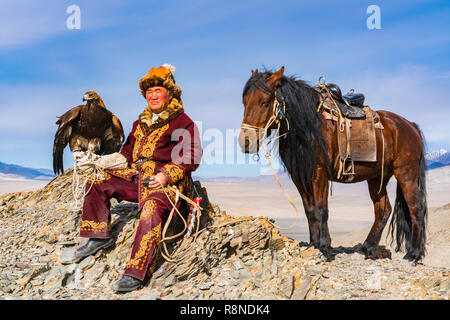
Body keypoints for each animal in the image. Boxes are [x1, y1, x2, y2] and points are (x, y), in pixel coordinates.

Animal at [237, 66, 428, 262]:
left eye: (264, 102)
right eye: (245, 102)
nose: (245, 142)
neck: (309, 127)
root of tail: (410, 126)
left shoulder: (319, 174)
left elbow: (322, 210)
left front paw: (325, 247)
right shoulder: (301, 178)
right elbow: (310, 211)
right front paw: (314, 244)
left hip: (406, 174)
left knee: (416, 208)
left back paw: (414, 254)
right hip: (376, 178)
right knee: (383, 210)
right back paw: (368, 247)